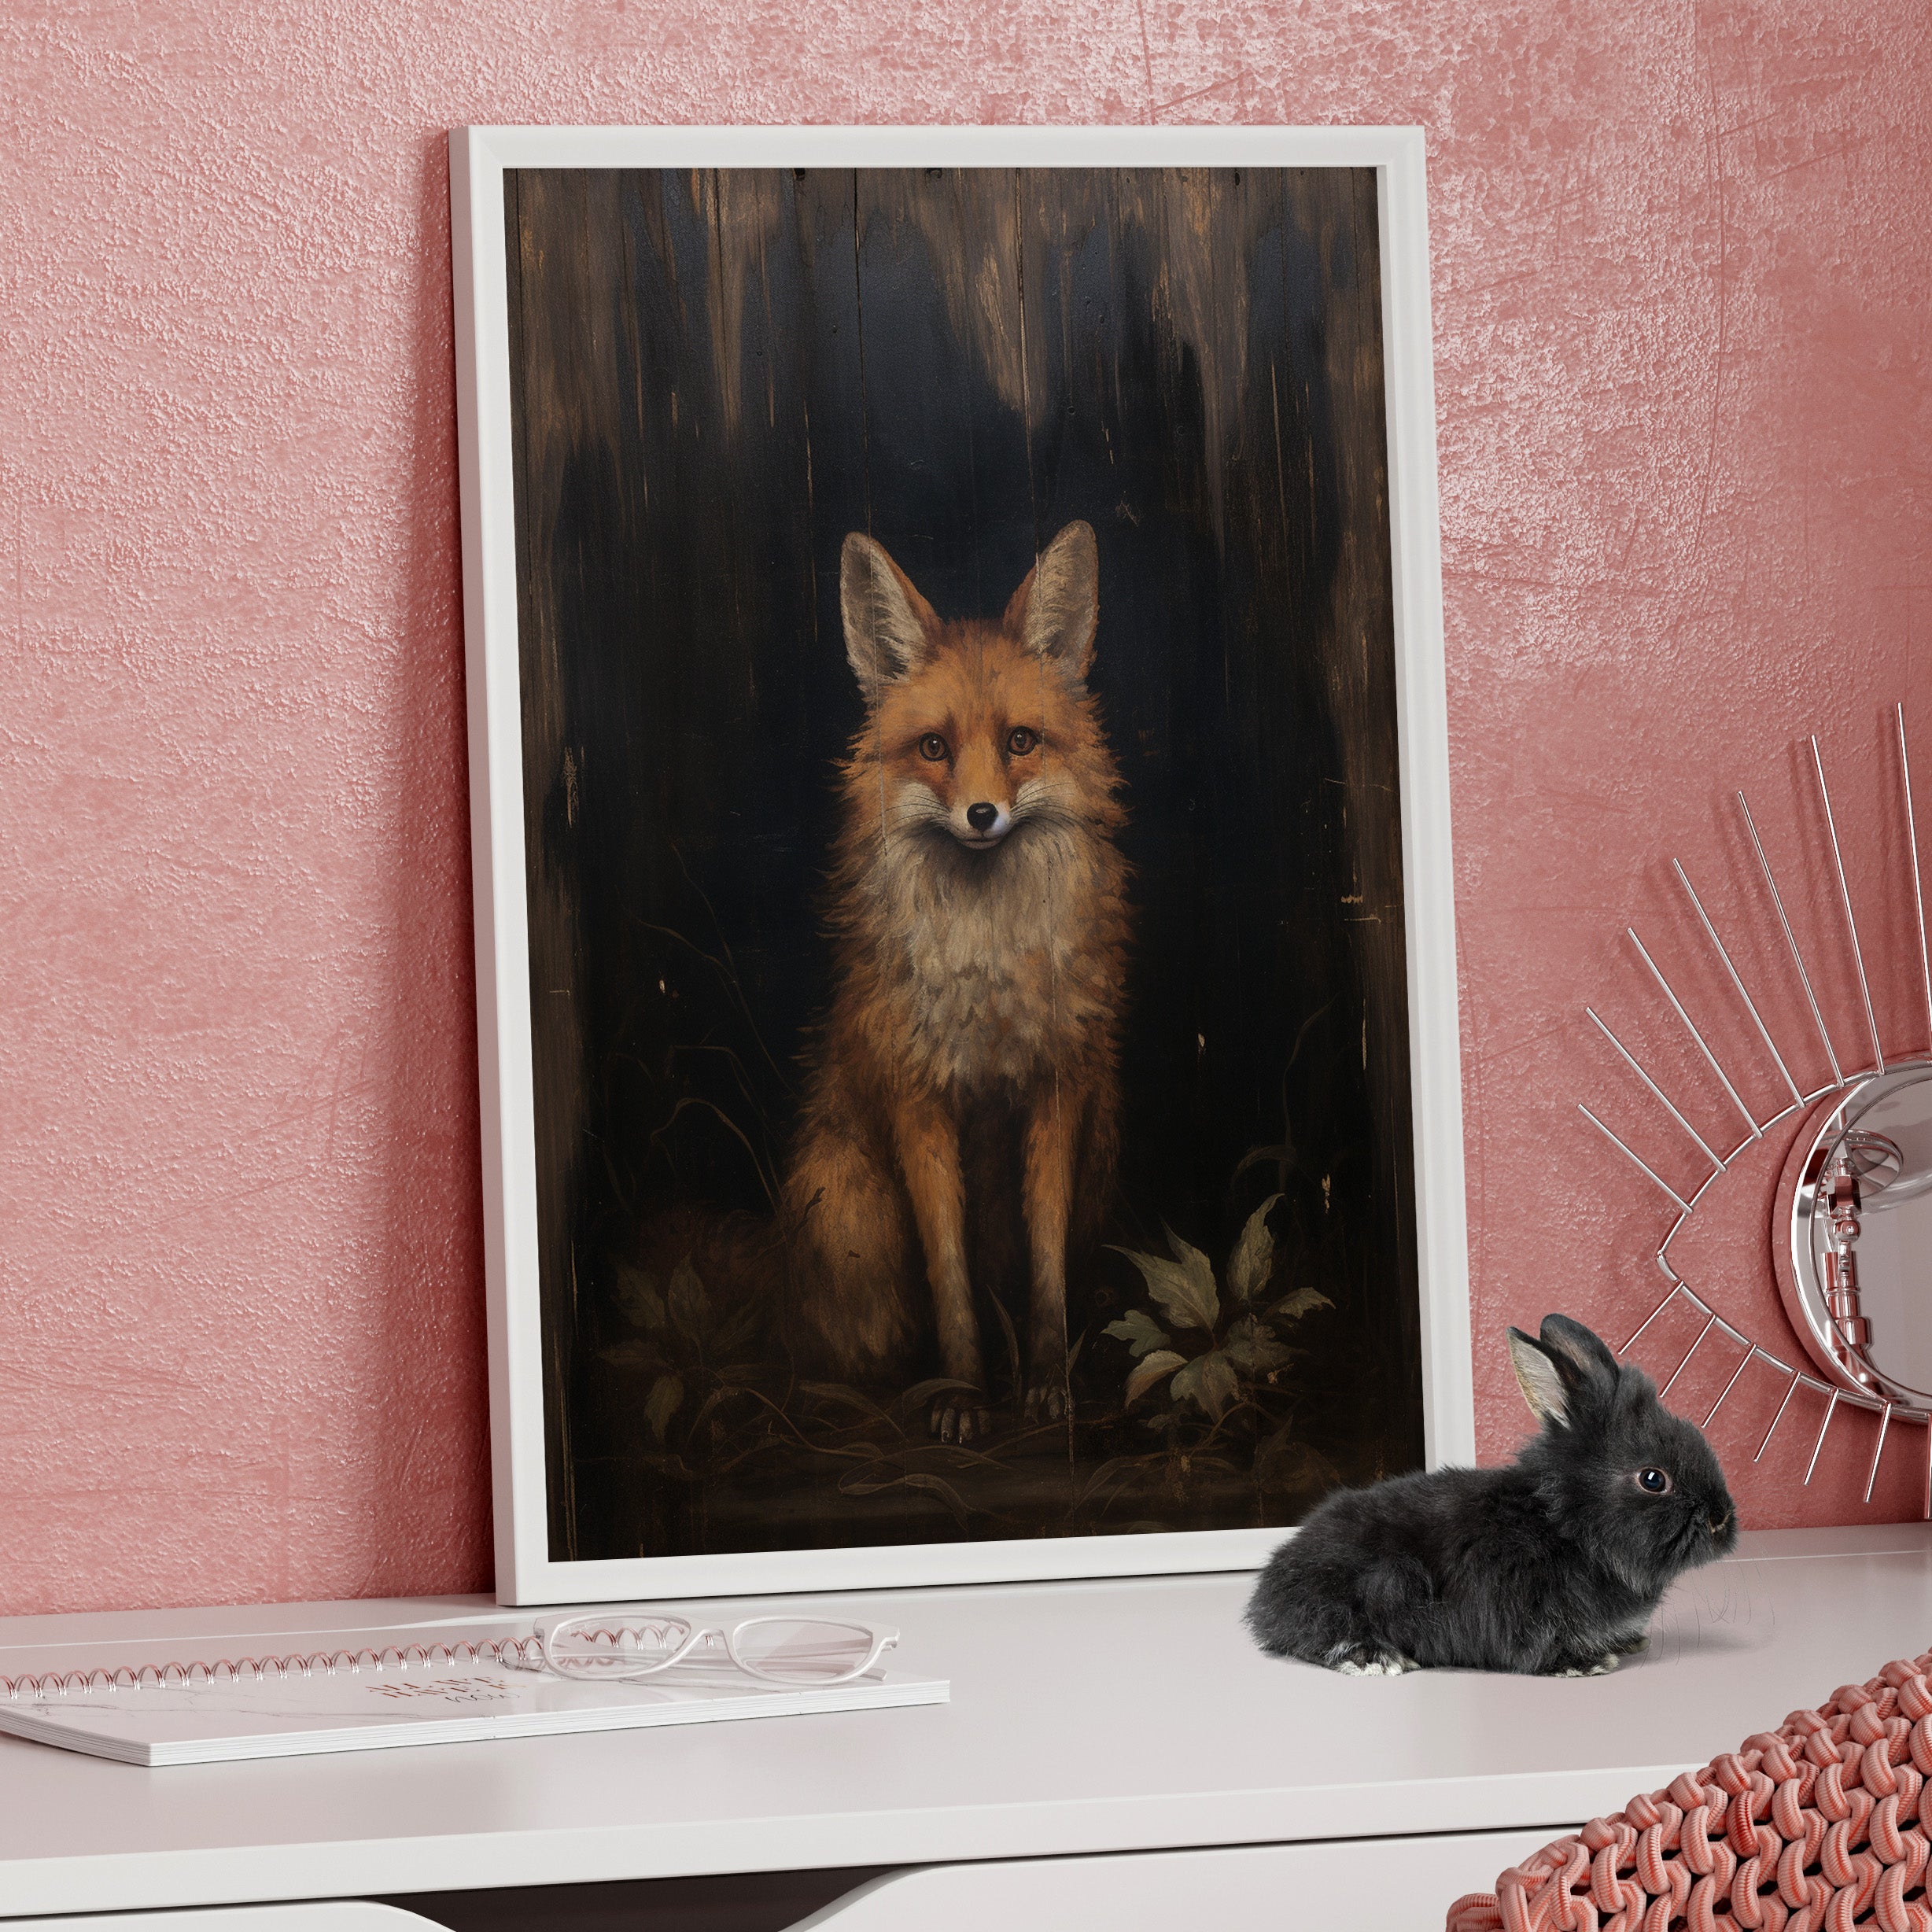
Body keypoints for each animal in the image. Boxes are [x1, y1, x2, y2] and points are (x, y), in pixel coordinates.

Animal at [782, 521, 1132, 1443]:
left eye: (1019, 742)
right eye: (934, 747)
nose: (981, 816)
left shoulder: (1057, 1089)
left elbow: (1045, 1268)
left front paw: (1047, 1388)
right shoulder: (919, 1099)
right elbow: (949, 1279)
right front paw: (965, 1395)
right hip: (854, 1209)